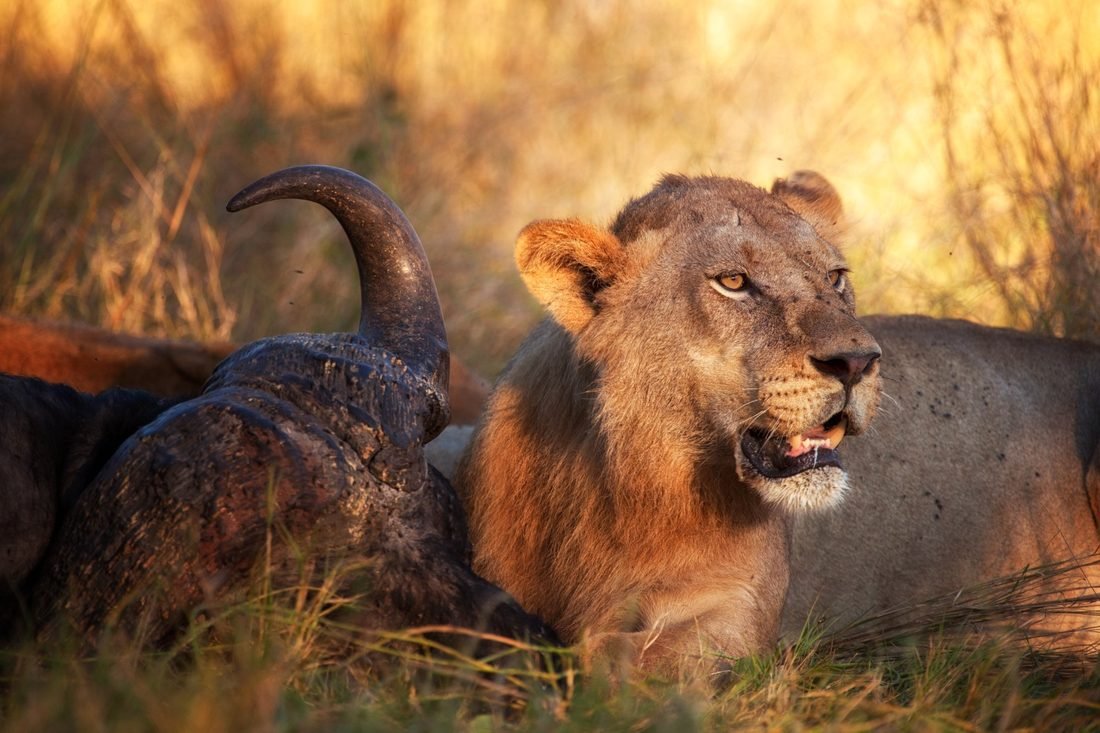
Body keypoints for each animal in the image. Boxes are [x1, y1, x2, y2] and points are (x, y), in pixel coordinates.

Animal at [454, 171, 883, 676]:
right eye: (733, 281)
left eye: (835, 278)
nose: (858, 362)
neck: (633, 483)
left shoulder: (738, 612)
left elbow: (617, 653)